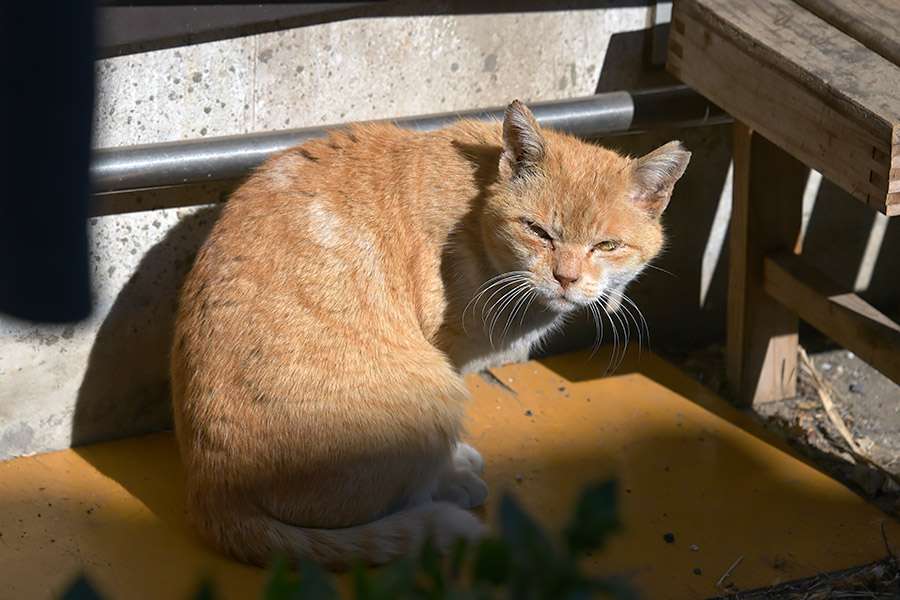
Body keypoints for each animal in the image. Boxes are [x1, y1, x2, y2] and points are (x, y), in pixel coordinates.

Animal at [169, 101, 688, 568]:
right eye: (538, 231)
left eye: (607, 245)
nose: (566, 278)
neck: (475, 209)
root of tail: (207, 491)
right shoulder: (448, 354)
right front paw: (456, 469)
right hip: (434, 390)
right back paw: (451, 490)